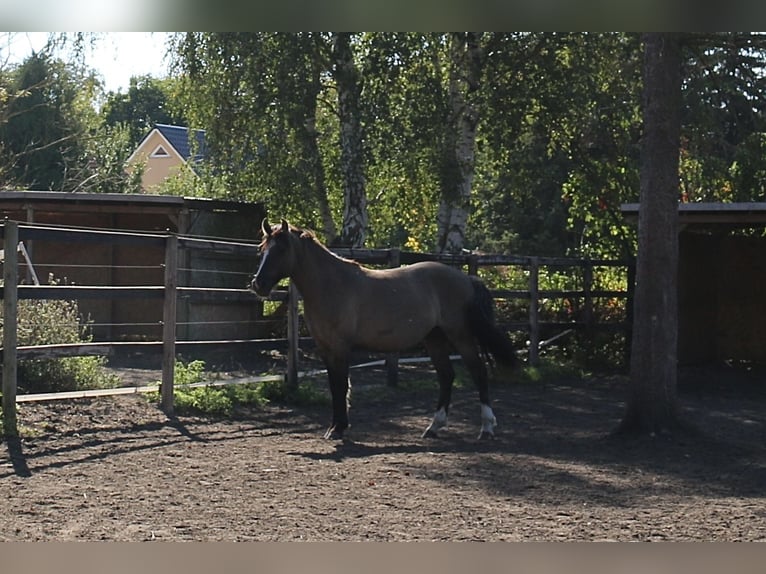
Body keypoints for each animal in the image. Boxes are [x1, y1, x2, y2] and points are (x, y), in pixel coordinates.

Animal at [250, 219, 516, 440]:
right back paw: (434, 427)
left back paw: (486, 428)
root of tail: (466, 279)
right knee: (447, 376)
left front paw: (338, 429)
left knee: (478, 373)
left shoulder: (340, 347)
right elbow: (334, 386)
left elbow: (340, 386)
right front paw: (335, 427)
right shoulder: (325, 348)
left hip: (460, 336)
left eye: (281, 249)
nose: (258, 284)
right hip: (434, 338)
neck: (332, 284)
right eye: (261, 250)